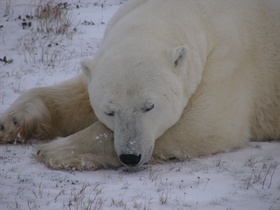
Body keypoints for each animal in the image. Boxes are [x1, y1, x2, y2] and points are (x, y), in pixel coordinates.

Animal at [0, 0, 278, 170]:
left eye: (149, 106)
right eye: (109, 111)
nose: (130, 156)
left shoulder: (230, 60)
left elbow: (206, 124)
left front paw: (54, 149)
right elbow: (78, 96)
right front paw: (12, 123)